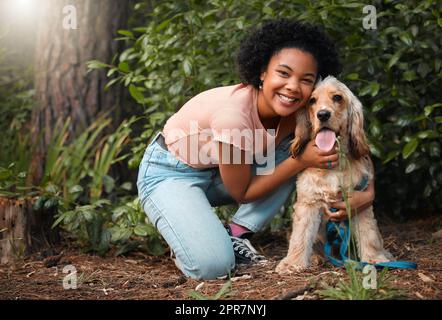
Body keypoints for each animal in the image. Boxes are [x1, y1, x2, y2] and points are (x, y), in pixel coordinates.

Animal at [276, 76, 394, 274]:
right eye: (312, 101)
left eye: (337, 97)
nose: (323, 114)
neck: (333, 165)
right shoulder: (308, 203)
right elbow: (300, 235)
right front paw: (292, 262)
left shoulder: (360, 202)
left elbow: (369, 233)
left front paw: (375, 258)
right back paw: (316, 258)